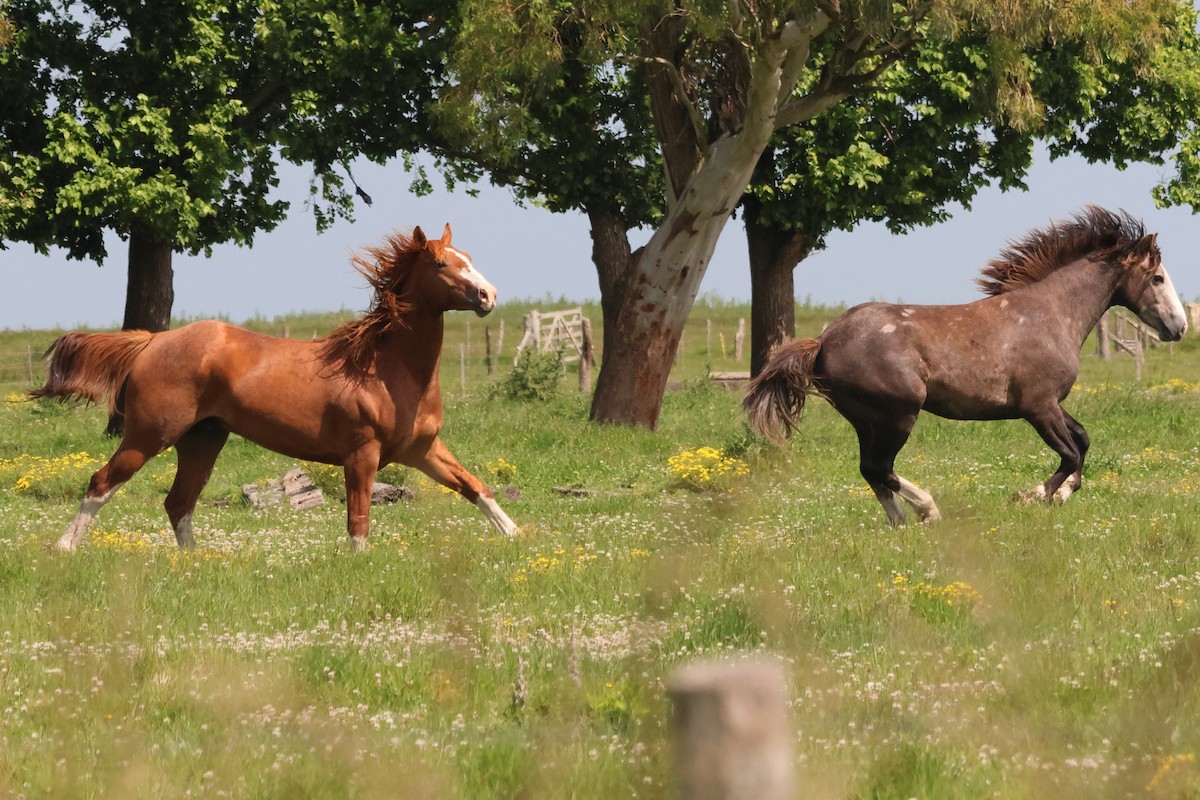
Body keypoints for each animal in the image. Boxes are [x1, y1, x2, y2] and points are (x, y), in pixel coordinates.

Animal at [33, 224, 520, 551]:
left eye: (468, 255)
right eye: (441, 263)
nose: (489, 295)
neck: (384, 368)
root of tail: (153, 341)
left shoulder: (422, 450)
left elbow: (476, 487)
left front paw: (519, 536)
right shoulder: (362, 455)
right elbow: (358, 520)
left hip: (202, 440)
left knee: (178, 503)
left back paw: (194, 562)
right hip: (149, 434)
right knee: (102, 483)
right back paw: (64, 548)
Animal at [743, 206, 1189, 526]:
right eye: (1157, 278)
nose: (1180, 327)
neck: (1050, 314)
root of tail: (824, 341)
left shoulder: (1051, 404)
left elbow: (1082, 442)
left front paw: (1059, 495)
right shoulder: (1038, 407)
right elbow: (1070, 454)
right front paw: (1029, 497)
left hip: (866, 420)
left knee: (872, 471)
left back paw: (902, 522)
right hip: (897, 415)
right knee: (878, 467)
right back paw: (928, 510)